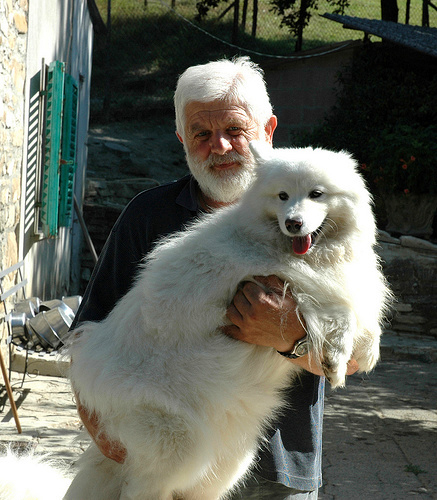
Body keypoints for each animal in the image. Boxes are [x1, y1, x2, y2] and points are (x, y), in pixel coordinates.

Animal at [63, 142, 388, 500]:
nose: (293, 223)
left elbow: (362, 314)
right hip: (178, 443)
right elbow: (340, 309)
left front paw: (365, 352)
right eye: (283, 196)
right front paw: (337, 360)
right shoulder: (285, 278)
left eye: (316, 194)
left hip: (227, 463)